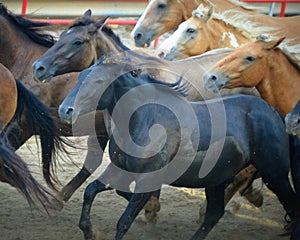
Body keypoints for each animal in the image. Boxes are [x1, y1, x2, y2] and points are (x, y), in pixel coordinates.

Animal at [58, 51, 300, 240]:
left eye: (99, 82)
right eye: (81, 76)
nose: (64, 110)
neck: (145, 118)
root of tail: (275, 113)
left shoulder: (148, 178)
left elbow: (124, 221)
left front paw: (150, 208)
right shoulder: (120, 168)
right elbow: (90, 190)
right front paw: (90, 231)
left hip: (275, 174)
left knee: (291, 206)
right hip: (215, 179)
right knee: (214, 214)